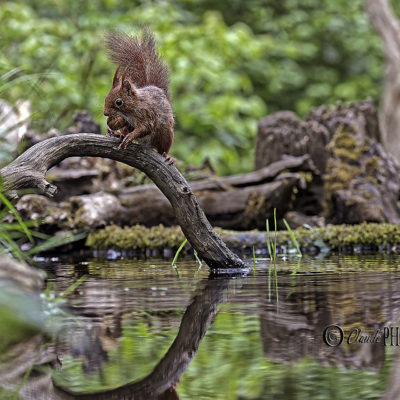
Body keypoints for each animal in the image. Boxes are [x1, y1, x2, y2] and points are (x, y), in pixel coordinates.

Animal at [104, 28, 175, 164]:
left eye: (118, 102)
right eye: (106, 98)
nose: (105, 113)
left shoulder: (147, 114)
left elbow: (145, 127)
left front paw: (129, 137)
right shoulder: (126, 120)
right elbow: (124, 124)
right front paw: (113, 125)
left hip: (165, 132)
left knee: (163, 148)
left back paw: (167, 156)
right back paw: (119, 134)